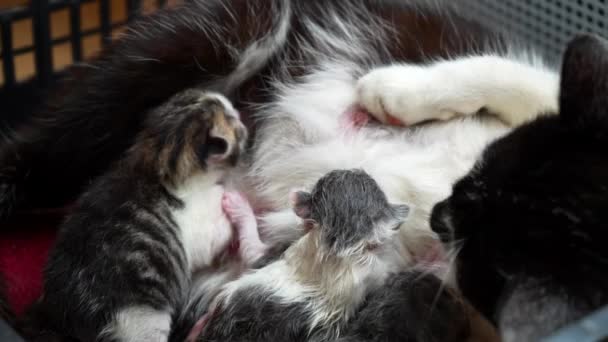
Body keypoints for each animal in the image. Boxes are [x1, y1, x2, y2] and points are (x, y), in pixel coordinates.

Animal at [30, 89, 247, 342]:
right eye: (235, 123)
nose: (241, 116)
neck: (156, 165)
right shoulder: (202, 226)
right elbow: (217, 232)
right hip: (142, 316)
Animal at [197, 170, 410, 340]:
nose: (354, 169)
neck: (342, 250)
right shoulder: (376, 273)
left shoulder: (273, 253)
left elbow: (251, 247)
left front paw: (237, 203)